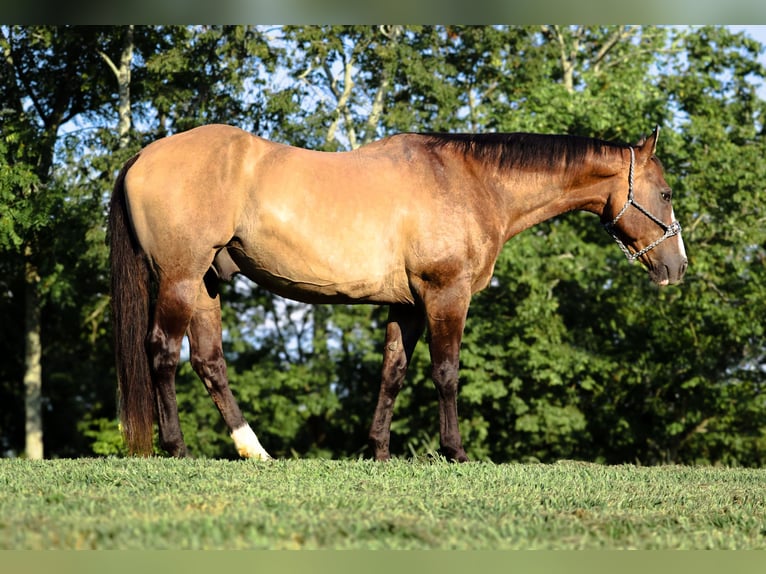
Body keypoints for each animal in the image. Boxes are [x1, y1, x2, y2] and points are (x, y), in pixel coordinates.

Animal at [109, 122, 688, 464]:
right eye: (665, 193)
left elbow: (393, 373)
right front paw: (454, 452)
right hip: (181, 277)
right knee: (162, 352)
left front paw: (378, 450)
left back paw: (255, 450)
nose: (676, 266)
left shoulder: (406, 306)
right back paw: (177, 447)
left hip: (205, 283)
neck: (469, 181)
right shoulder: (446, 295)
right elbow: (445, 373)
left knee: (209, 362)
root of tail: (142, 157)